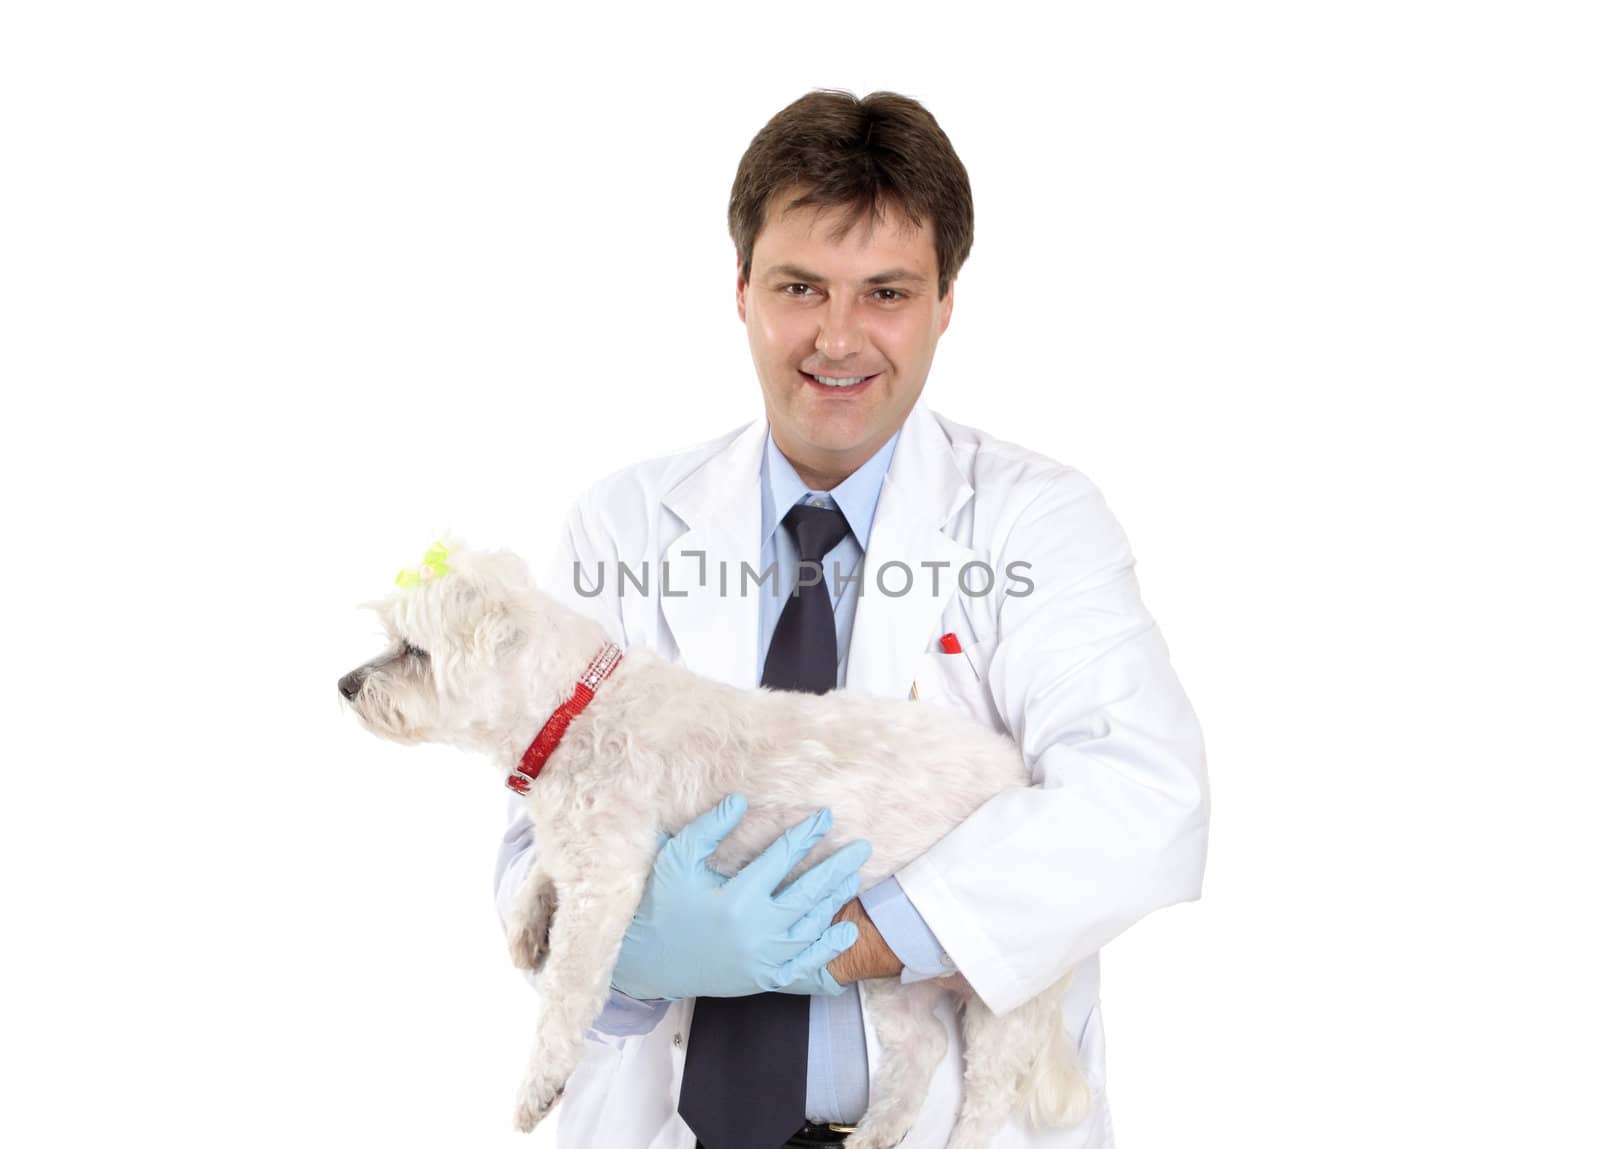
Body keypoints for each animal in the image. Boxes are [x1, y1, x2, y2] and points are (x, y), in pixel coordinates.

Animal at [336, 544, 1088, 1145]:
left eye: (411, 651)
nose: (345, 684)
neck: (575, 709)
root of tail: (1016, 773)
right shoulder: (578, 840)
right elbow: (540, 867)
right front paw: (526, 923)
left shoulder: (607, 880)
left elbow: (568, 995)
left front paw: (539, 1085)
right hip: (888, 967)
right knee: (922, 1045)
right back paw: (876, 1131)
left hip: (1000, 985)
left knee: (990, 1092)